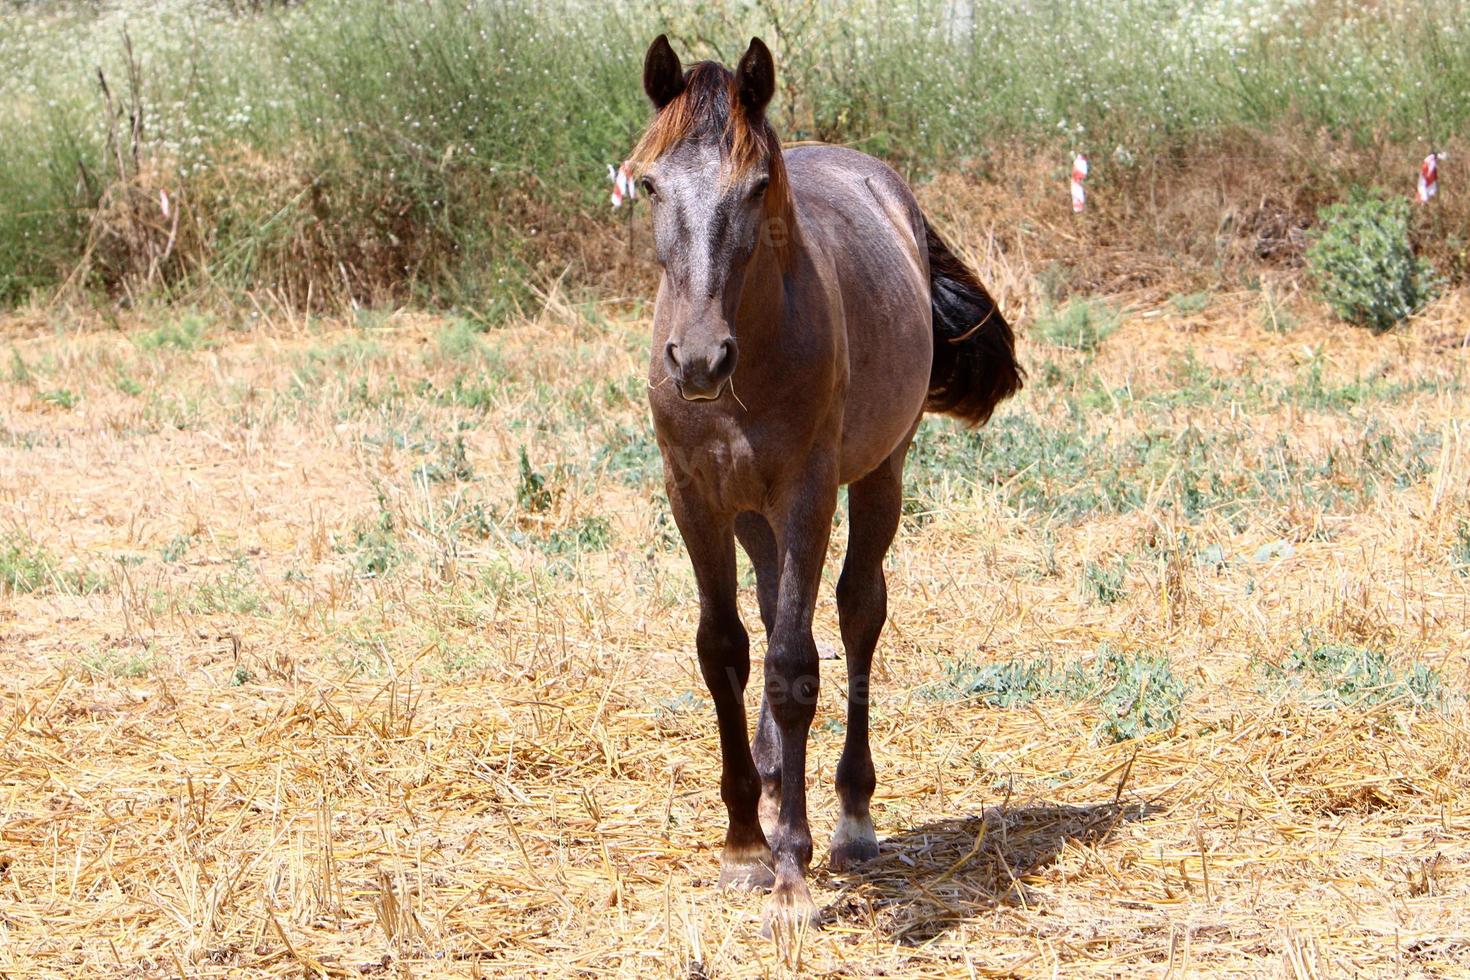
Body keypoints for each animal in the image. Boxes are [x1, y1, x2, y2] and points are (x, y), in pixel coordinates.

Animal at [632, 34, 1023, 934]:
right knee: (774, 593)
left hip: (881, 473)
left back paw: (850, 818)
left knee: (855, 612)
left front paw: (791, 871)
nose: (697, 360)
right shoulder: (694, 496)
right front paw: (744, 843)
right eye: (649, 183)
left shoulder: (808, 492)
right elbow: (724, 650)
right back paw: (776, 776)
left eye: (756, 186)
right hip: (754, 513)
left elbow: (792, 666)